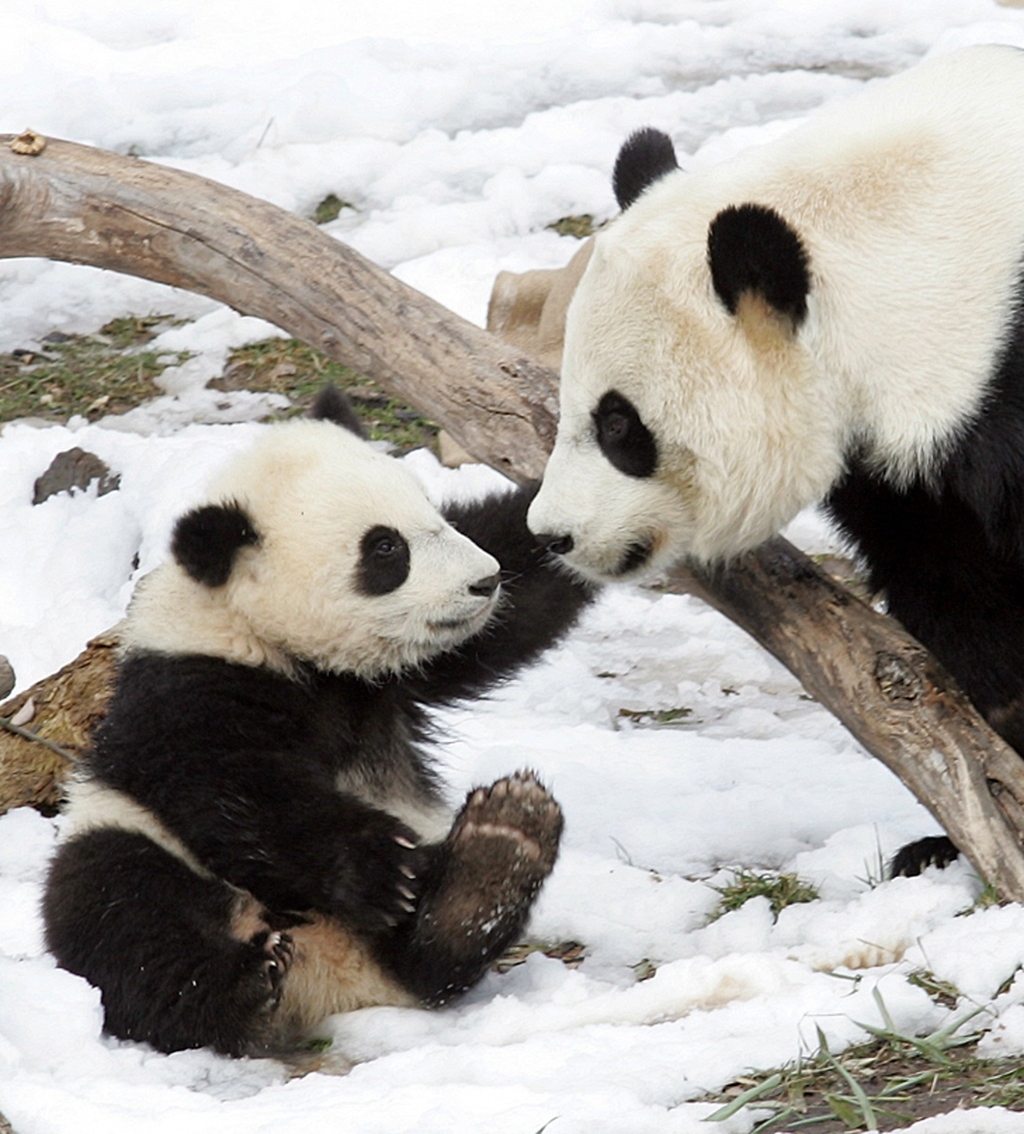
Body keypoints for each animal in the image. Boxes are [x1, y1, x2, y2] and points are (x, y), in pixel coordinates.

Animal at [43, 394, 594, 1056]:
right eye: (385, 549)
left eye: (428, 509)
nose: (483, 582)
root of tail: (330, 977)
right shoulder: (188, 687)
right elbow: (232, 792)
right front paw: (378, 868)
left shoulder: (402, 677)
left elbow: (526, 583)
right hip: (126, 837)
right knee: (121, 914)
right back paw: (241, 988)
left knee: (425, 959)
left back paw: (496, 855)